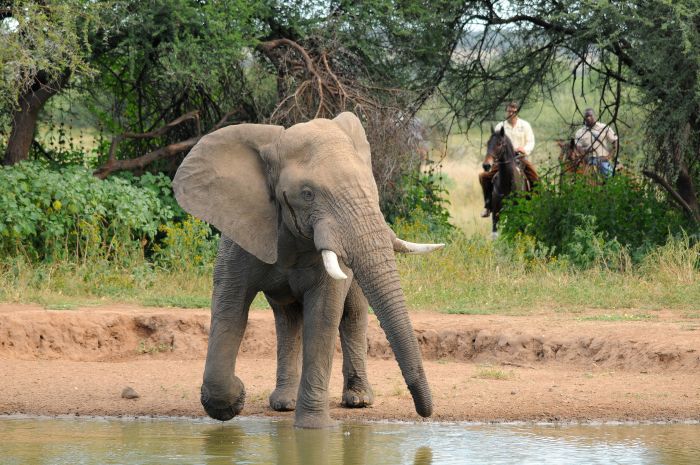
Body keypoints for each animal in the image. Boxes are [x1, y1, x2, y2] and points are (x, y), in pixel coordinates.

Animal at [175, 110, 446, 426]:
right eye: (307, 194)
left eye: (372, 187)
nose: (426, 413)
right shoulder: (239, 235)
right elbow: (229, 308)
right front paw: (235, 401)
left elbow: (324, 313)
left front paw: (312, 427)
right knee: (287, 318)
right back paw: (283, 403)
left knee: (352, 313)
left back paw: (358, 401)